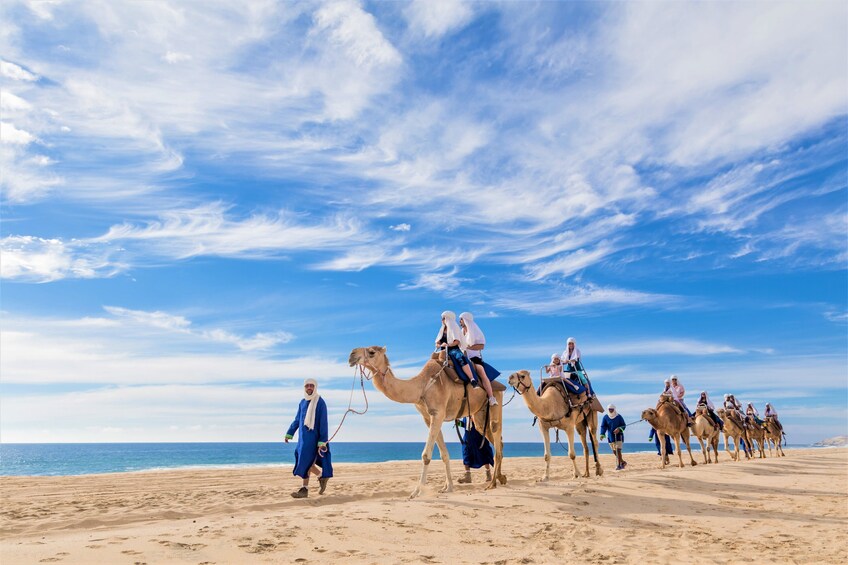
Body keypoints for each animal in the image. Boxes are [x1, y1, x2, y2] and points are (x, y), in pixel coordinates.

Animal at [350, 344, 506, 498]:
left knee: (496, 436)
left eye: (371, 352)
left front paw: (416, 492)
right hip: (479, 414)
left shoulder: (437, 414)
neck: (422, 386)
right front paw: (448, 487)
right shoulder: (428, 417)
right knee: (496, 440)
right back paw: (501, 478)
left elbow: (426, 455)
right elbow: (444, 454)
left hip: (495, 399)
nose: (351, 355)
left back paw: (492, 483)